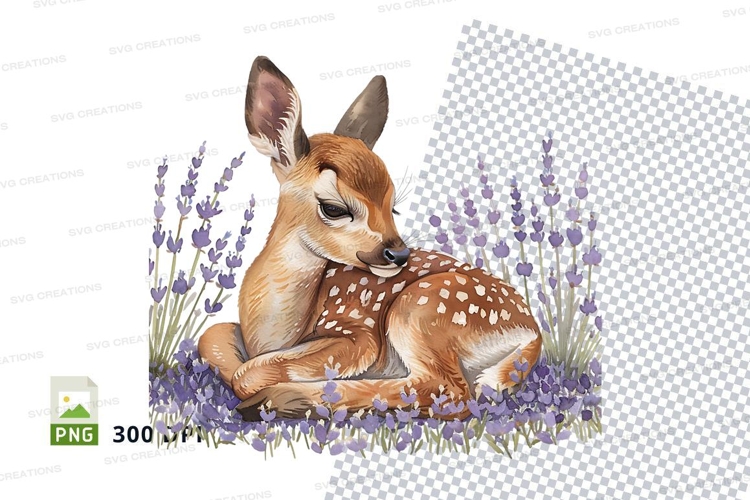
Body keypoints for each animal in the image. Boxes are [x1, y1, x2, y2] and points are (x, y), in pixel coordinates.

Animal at [197, 56, 542, 421]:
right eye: (334, 208)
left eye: (394, 207)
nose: (398, 254)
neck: (273, 332)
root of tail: (532, 330)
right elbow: (213, 338)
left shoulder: (357, 333)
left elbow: (247, 375)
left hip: (421, 309)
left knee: (448, 391)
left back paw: (286, 398)